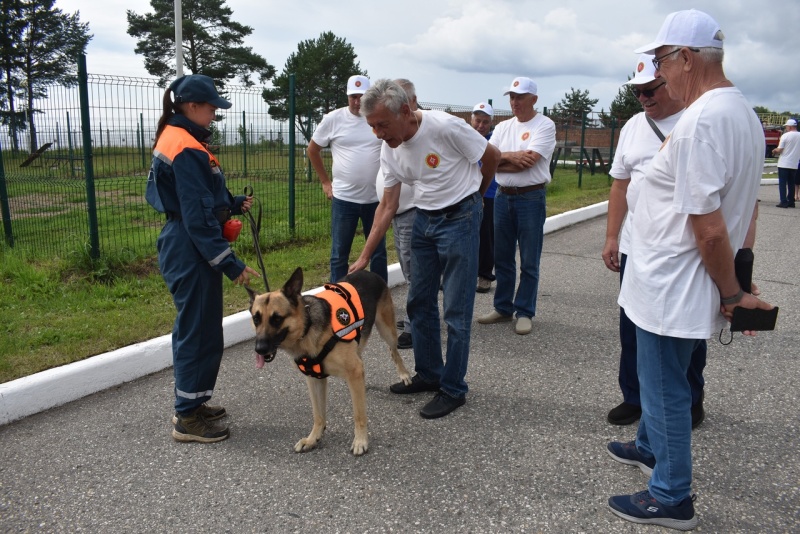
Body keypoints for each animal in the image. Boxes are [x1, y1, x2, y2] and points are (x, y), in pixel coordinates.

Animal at [248, 268, 412, 456]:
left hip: (387, 331)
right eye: (256, 319)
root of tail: (368, 272)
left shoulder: (353, 371)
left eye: (277, 319)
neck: (307, 328)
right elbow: (318, 414)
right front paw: (313, 439)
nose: (259, 349)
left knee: (393, 352)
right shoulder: (314, 379)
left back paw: (404, 375)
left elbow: (359, 414)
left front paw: (360, 440)